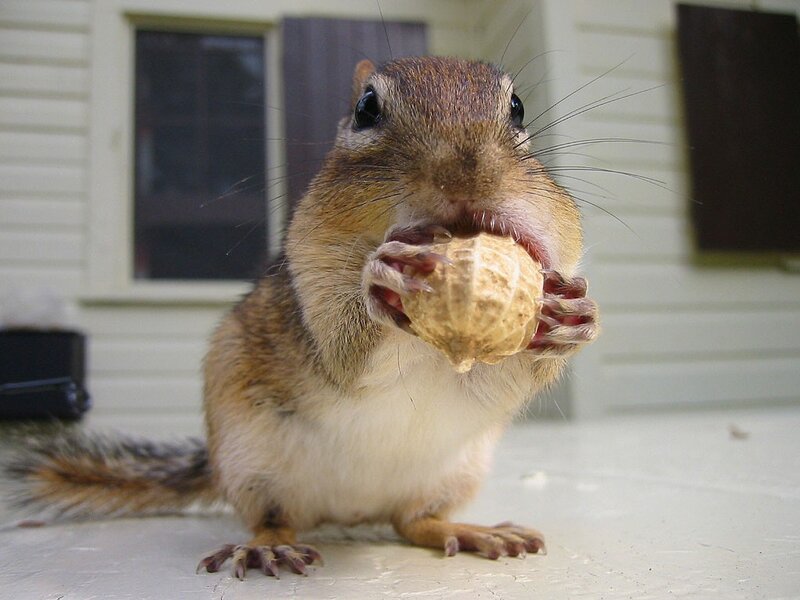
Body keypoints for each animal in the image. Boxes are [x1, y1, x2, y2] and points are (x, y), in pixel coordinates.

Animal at [5, 56, 598, 579]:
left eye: (518, 107)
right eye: (365, 108)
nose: (464, 176)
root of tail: (352, 511)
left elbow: (500, 381)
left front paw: (574, 320)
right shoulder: (308, 283)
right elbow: (342, 354)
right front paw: (379, 282)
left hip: (453, 474)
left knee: (415, 523)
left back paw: (473, 531)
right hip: (251, 465)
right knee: (275, 518)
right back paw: (267, 548)